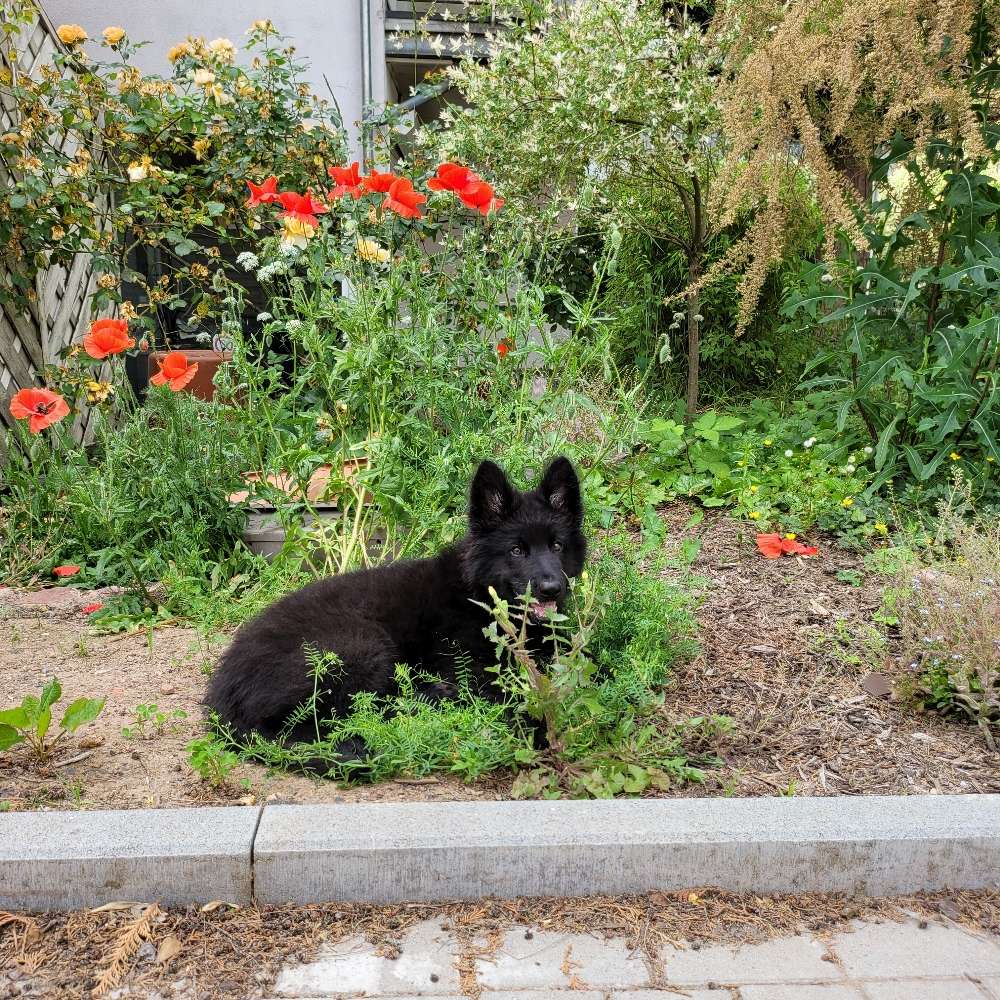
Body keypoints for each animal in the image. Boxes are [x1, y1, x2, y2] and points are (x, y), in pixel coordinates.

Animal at [207, 458, 588, 748]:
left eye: (557, 546)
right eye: (516, 550)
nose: (552, 589)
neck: (480, 595)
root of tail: (222, 697)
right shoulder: (470, 669)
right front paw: (542, 730)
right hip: (362, 645)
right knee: (333, 717)